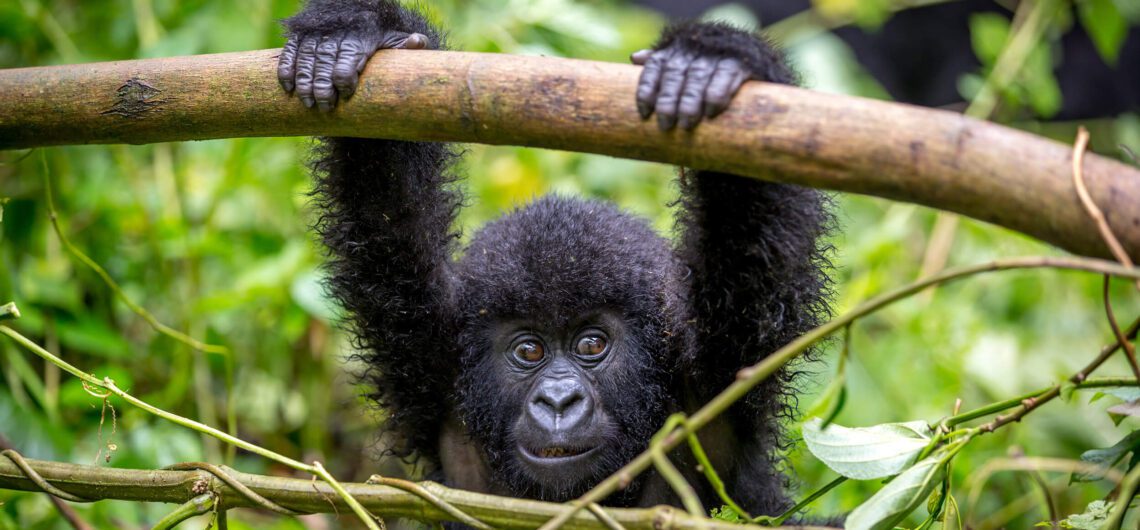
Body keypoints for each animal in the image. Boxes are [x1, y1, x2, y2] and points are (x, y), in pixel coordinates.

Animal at [277, 0, 829, 515]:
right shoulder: (428, 355)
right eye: (529, 351)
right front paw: (354, 33)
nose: (559, 401)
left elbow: (751, 237)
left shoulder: (720, 371)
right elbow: (386, 207)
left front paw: (713, 60)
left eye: (591, 344)